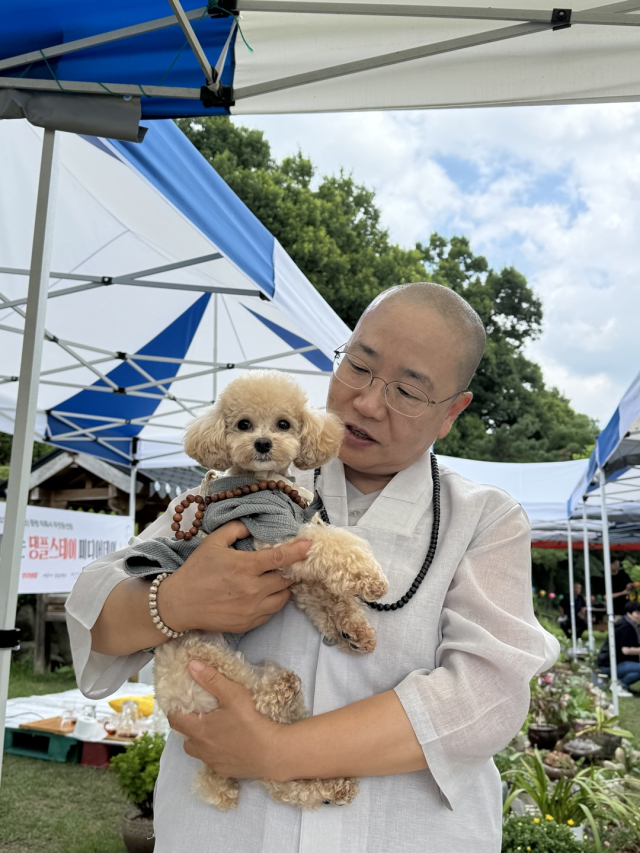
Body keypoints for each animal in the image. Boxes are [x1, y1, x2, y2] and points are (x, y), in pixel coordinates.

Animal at [141, 374, 390, 812]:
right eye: (243, 424)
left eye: (283, 424)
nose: (261, 444)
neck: (267, 486)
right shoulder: (276, 539)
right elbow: (331, 544)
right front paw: (368, 577)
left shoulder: (294, 576)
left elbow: (325, 599)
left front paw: (353, 631)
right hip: (207, 663)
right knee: (259, 700)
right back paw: (279, 688)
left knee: (279, 774)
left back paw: (333, 786)